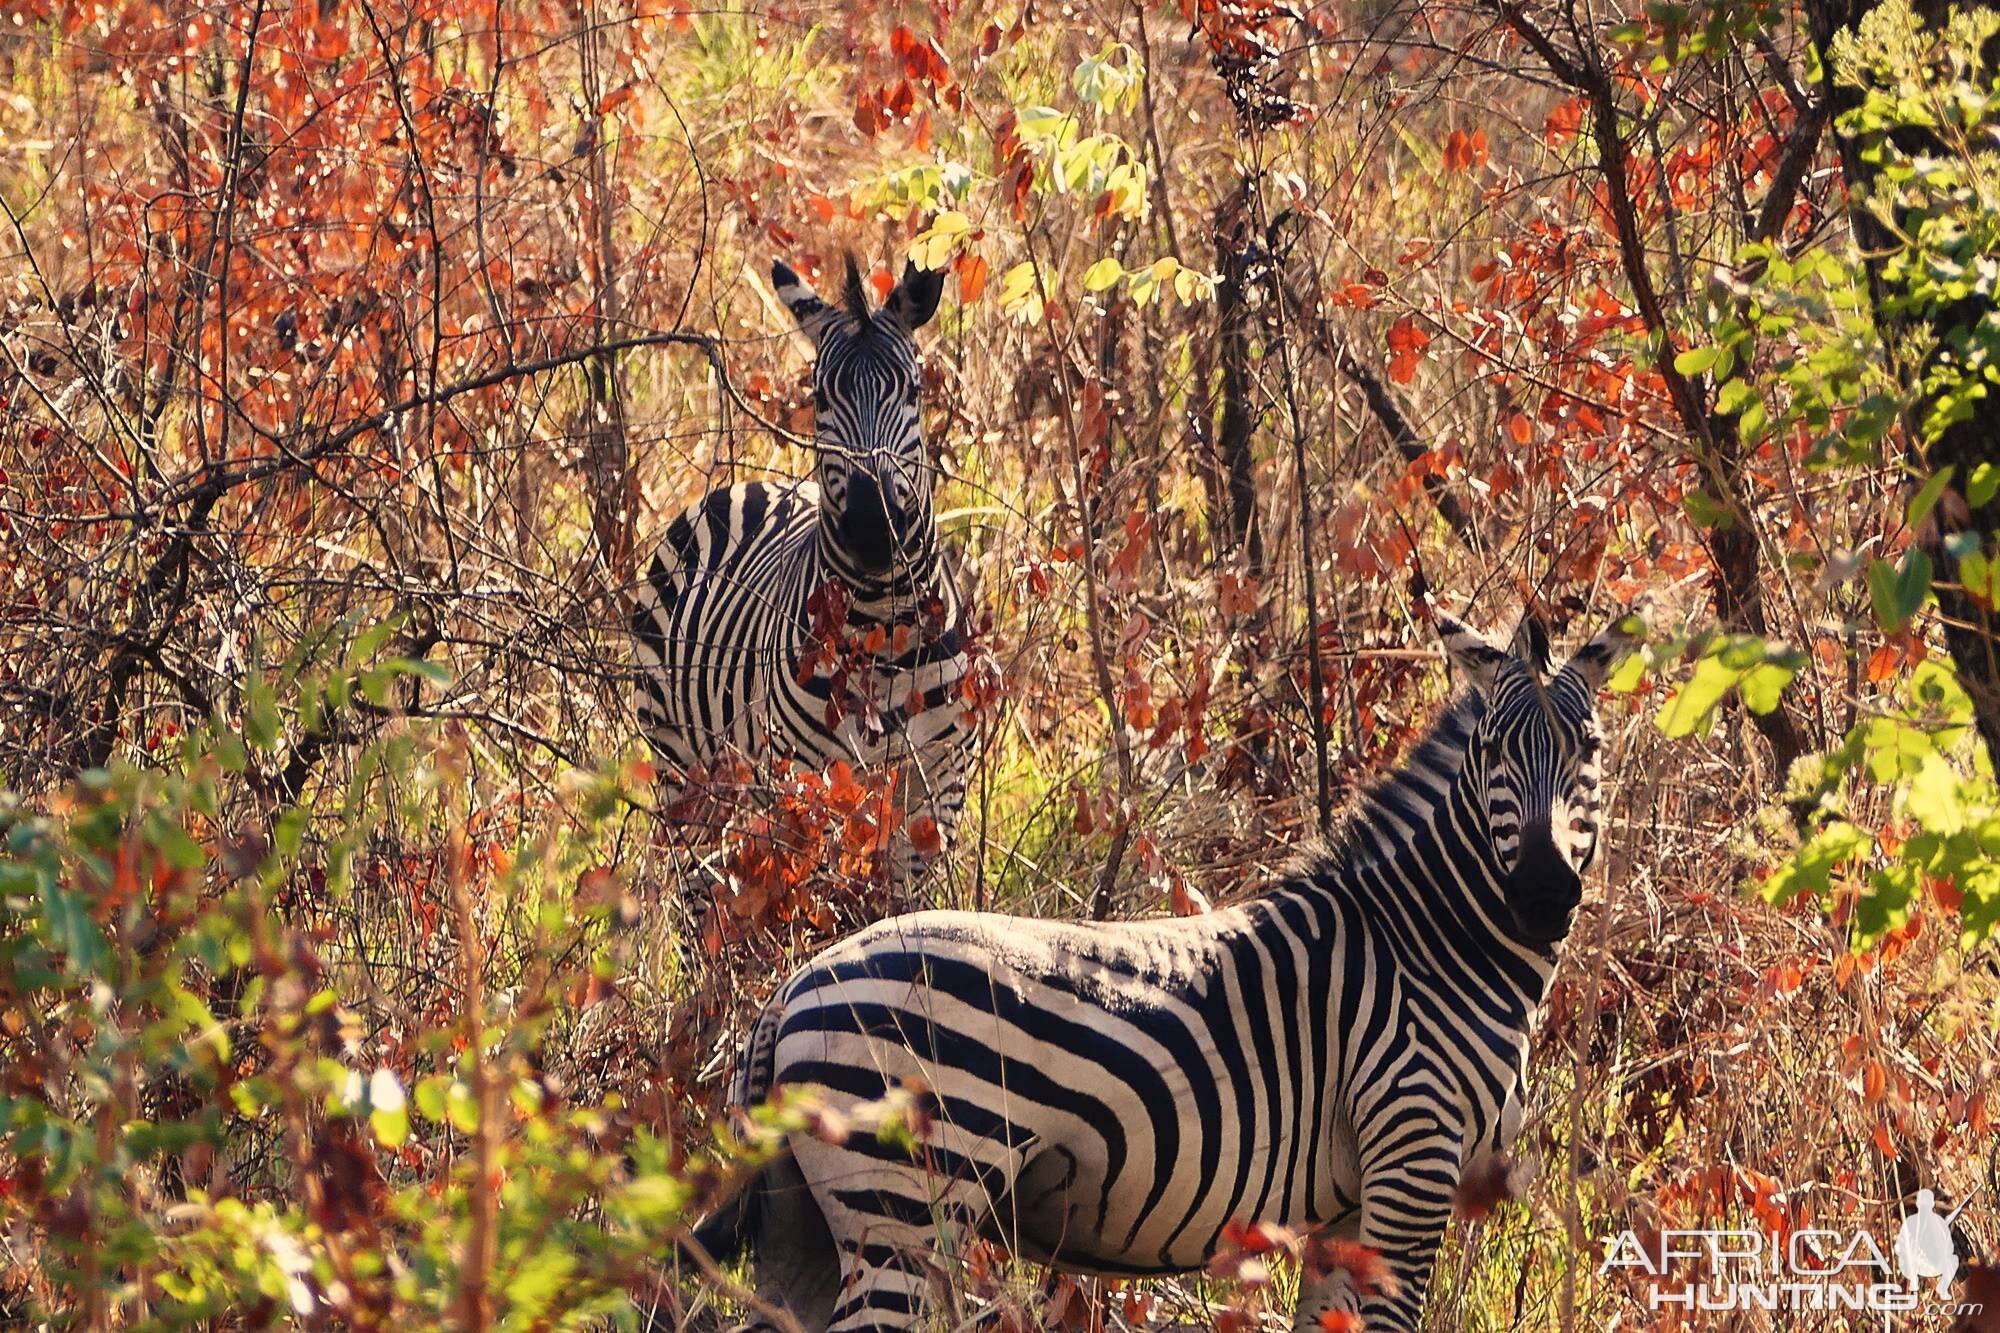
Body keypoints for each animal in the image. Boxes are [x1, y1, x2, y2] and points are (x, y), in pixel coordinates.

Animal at [632, 254, 984, 888]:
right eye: (821, 397)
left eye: (914, 389)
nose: (872, 525)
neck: (885, 630)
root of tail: (741, 486)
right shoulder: (811, 785)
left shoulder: (936, 790)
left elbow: (900, 899)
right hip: (681, 762)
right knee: (698, 878)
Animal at [688, 608, 1640, 1320]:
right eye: (1493, 754)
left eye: (1589, 750)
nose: (1544, 895)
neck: (1432, 945)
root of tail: (789, 990)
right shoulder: (1411, 1155)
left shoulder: (1345, 1205)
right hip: (903, 1215)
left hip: (809, 1228)